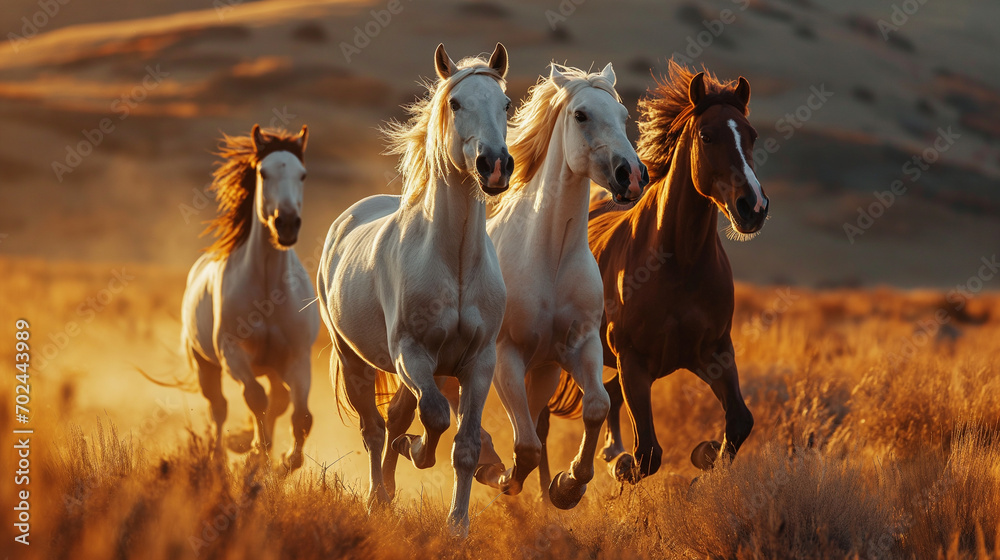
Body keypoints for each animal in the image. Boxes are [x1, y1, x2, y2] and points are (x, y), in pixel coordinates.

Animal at [181, 124, 316, 470]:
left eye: (303, 175)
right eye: (263, 173)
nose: (286, 223)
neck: (268, 292)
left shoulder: (298, 359)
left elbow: (301, 415)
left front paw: (285, 461)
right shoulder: (233, 354)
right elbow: (255, 398)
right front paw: (258, 451)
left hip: (274, 368)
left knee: (279, 401)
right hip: (206, 365)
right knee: (219, 407)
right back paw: (219, 457)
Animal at [316, 42, 512, 532]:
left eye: (505, 103)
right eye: (455, 103)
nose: (495, 166)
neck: (454, 264)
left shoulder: (478, 363)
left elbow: (464, 446)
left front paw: (458, 526)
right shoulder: (412, 354)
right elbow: (436, 416)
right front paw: (416, 451)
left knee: (396, 417)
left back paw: (388, 492)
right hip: (356, 360)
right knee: (374, 428)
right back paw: (376, 498)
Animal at [540, 62, 764, 486]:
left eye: (752, 135)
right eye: (707, 135)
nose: (753, 206)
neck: (680, 264)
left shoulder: (714, 352)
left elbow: (740, 422)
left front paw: (705, 456)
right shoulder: (634, 362)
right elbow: (648, 453)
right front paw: (614, 467)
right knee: (540, 419)